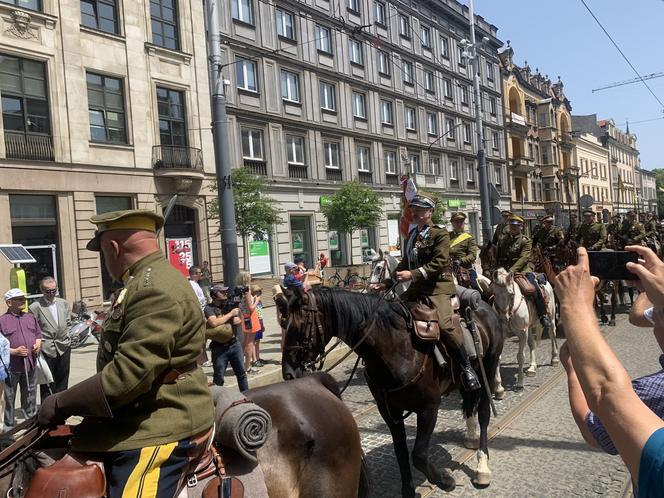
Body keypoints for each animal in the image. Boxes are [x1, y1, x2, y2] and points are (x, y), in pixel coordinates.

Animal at [280, 286, 504, 496]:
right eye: (282, 323)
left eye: (299, 325)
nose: (288, 373)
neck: (395, 347)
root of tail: (485, 305)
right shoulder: (389, 412)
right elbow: (401, 452)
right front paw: (409, 491)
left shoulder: (429, 407)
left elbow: (418, 454)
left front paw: (445, 481)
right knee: (469, 401)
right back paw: (471, 437)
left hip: (489, 368)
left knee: (484, 412)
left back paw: (482, 467)